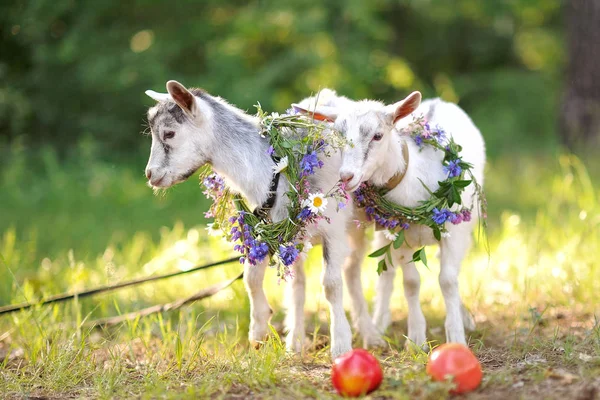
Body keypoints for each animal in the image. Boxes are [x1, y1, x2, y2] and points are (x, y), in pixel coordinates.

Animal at [143, 80, 382, 356]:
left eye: (169, 134)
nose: (151, 175)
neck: (273, 170)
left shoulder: (333, 230)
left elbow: (332, 284)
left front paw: (341, 345)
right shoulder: (267, 230)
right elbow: (251, 277)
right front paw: (258, 330)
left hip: (354, 227)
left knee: (351, 271)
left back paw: (370, 334)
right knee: (299, 283)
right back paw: (295, 342)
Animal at [292, 93, 486, 346]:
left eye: (378, 135)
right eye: (339, 135)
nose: (346, 176)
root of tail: (439, 101)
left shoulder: (453, 234)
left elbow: (448, 280)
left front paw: (456, 337)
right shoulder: (402, 236)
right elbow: (411, 283)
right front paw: (416, 339)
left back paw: (465, 318)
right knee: (384, 272)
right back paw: (379, 323)